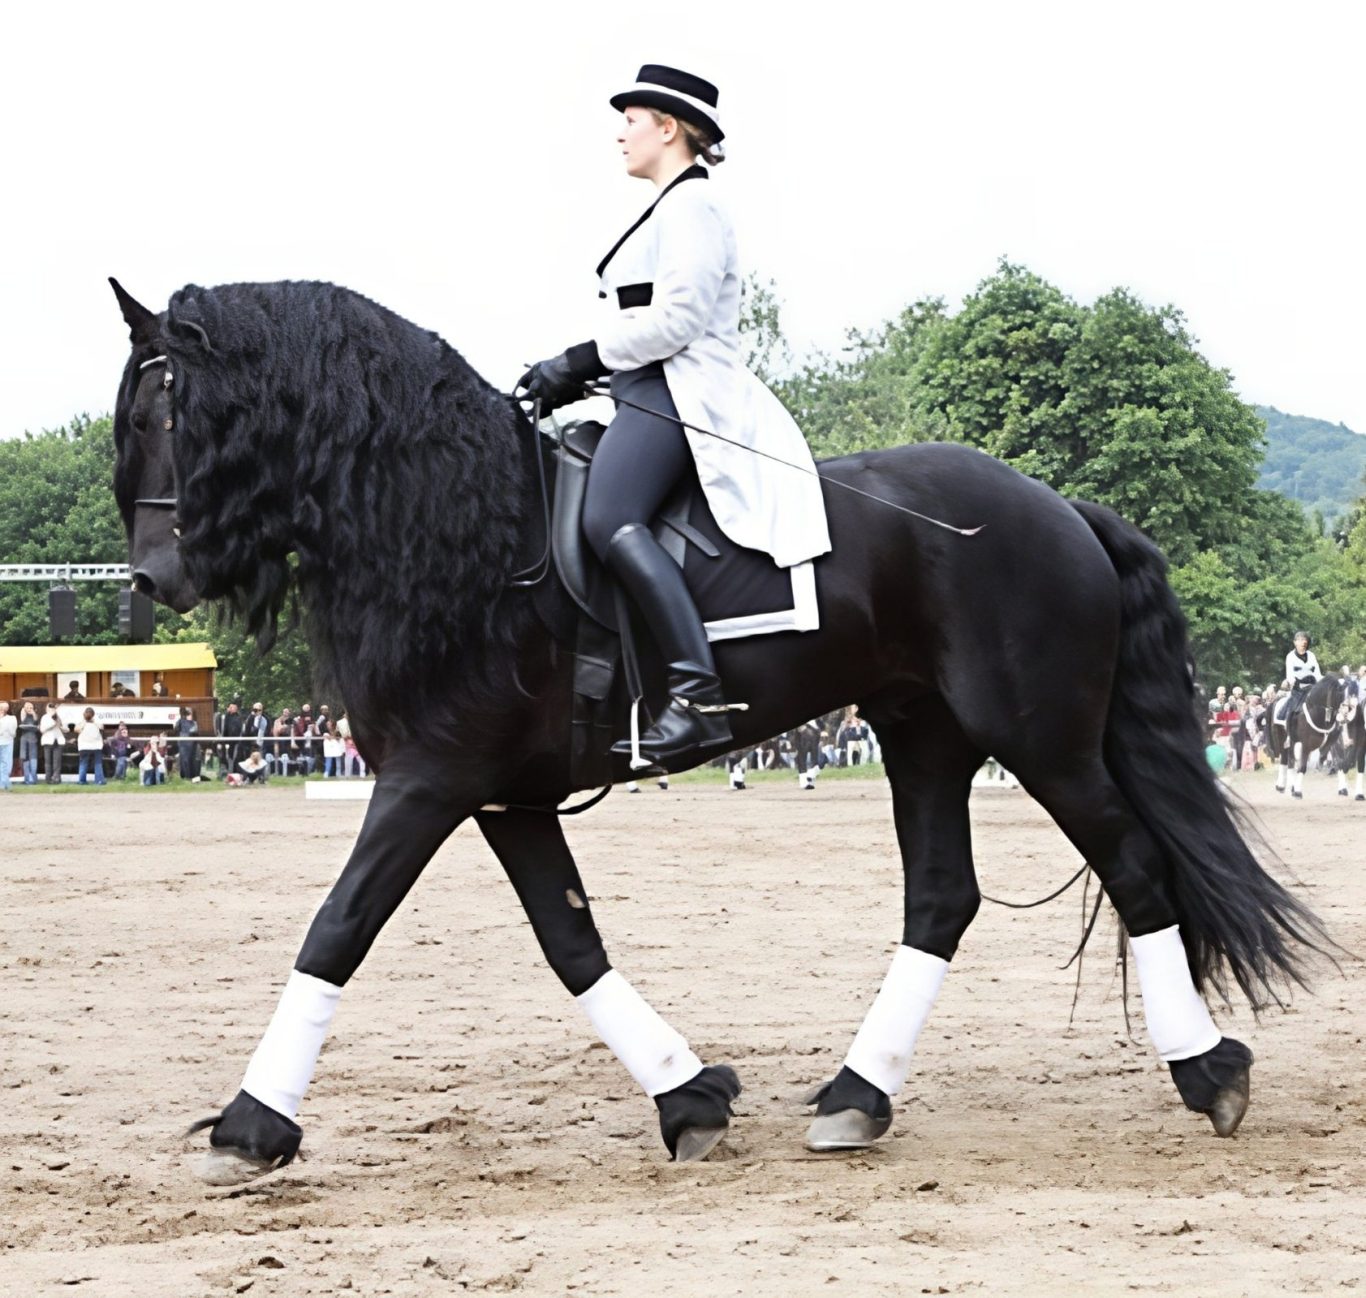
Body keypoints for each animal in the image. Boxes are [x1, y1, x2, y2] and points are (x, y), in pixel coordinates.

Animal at [108, 277, 1328, 1185]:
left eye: (169, 416)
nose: (153, 580)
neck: (451, 523)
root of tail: (1056, 503)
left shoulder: (429, 777)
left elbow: (337, 928)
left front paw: (249, 1124)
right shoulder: (502, 792)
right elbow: (571, 944)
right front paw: (687, 1094)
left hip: (1040, 738)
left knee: (1133, 865)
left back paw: (1206, 1071)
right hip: (924, 734)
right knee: (941, 897)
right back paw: (857, 1094)